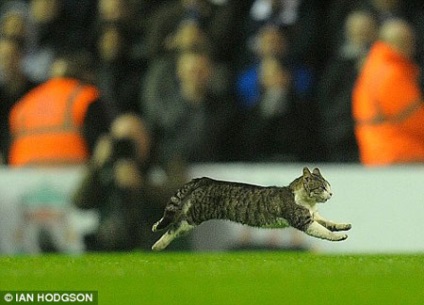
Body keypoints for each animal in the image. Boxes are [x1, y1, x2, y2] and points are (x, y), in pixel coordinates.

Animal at [152, 167, 352, 251]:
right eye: (323, 187)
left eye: (329, 186)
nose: (331, 194)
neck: (308, 203)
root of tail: (207, 179)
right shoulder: (303, 220)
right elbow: (324, 231)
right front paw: (339, 236)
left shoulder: (313, 215)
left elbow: (329, 222)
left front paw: (343, 226)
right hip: (195, 215)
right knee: (174, 226)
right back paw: (158, 245)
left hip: (192, 210)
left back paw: (155, 226)